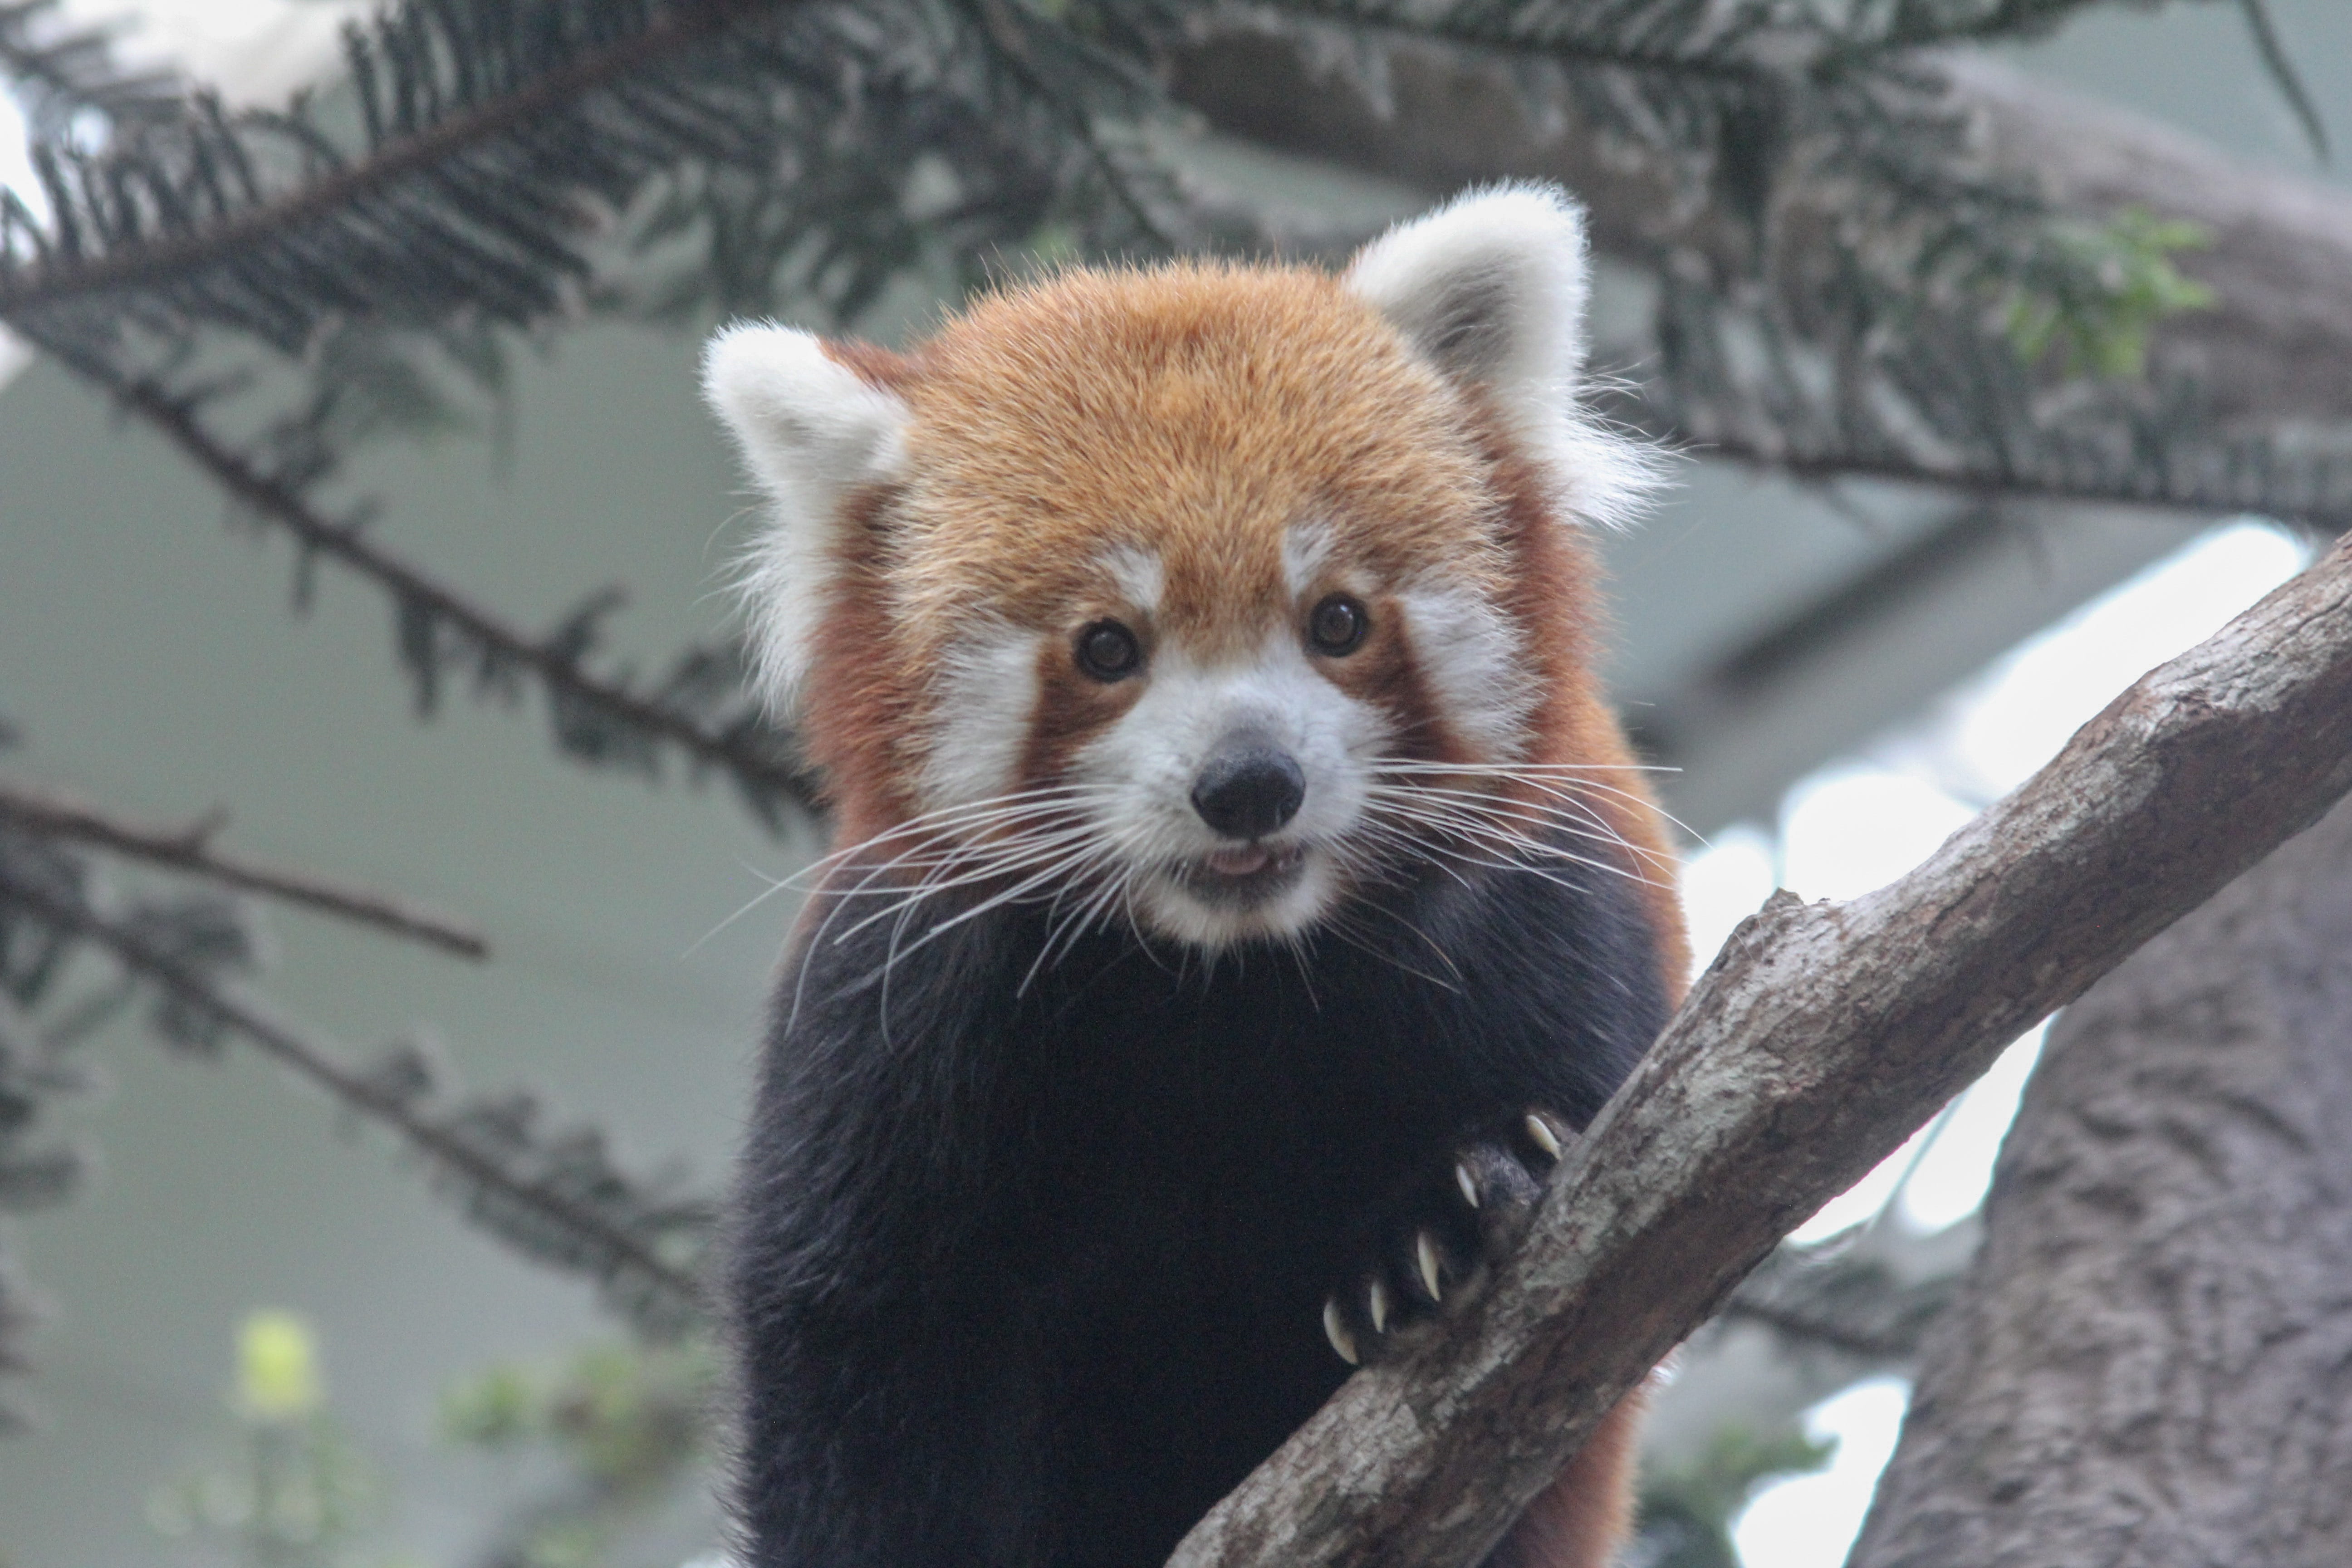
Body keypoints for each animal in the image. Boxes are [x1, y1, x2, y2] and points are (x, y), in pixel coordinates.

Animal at [702, 183, 1689, 1568]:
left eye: (1337, 620)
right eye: (1108, 647)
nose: (1249, 783)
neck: (1227, 979)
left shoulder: (1554, 907)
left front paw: (1446, 1209)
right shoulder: (893, 1018)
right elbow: (858, 1352)